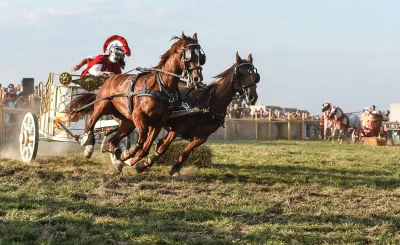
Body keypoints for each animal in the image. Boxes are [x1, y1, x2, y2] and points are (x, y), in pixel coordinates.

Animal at [65, 32, 206, 168]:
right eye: (188, 55)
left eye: (201, 56)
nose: (197, 78)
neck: (160, 86)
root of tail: (109, 79)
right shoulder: (138, 115)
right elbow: (142, 136)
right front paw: (129, 153)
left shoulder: (158, 123)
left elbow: (146, 148)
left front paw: (128, 157)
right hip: (102, 107)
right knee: (90, 125)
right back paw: (89, 147)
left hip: (127, 122)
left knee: (112, 141)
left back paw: (117, 161)